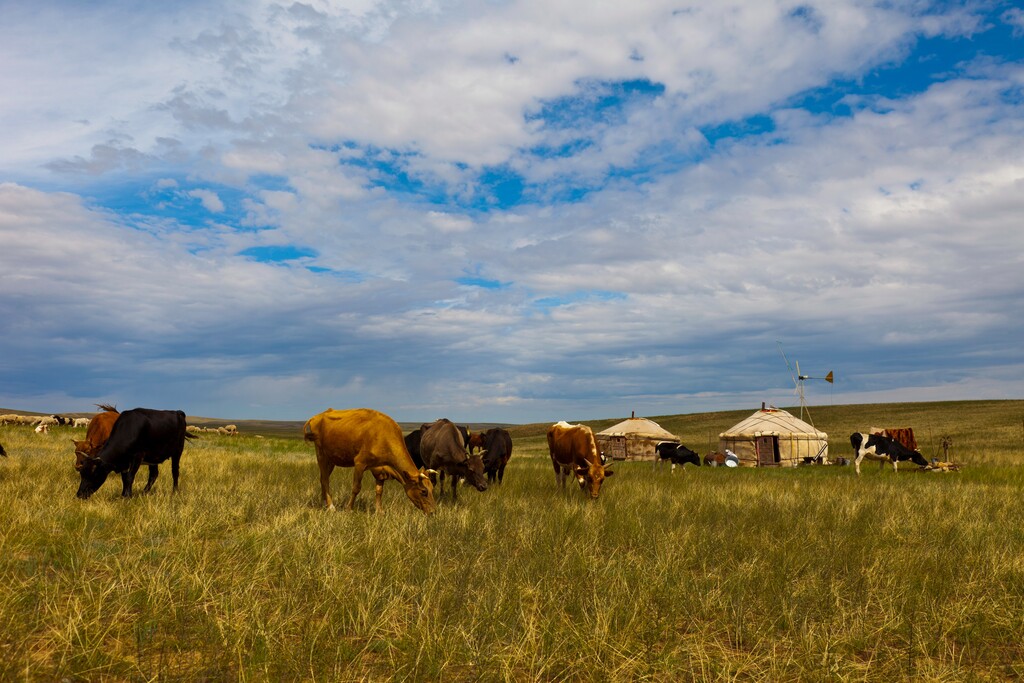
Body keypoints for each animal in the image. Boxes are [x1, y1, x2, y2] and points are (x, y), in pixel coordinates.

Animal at [299, 409, 436, 516]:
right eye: (424, 491)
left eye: (432, 489)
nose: (432, 512)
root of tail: (318, 416)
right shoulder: (360, 463)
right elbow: (356, 487)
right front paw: (348, 509)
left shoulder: (380, 470)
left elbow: (379, 490)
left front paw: (380, 511)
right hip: (321, 454)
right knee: (325, 480)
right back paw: (331, 506)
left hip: (331, 459)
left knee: (323, 478)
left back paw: (324, 503)